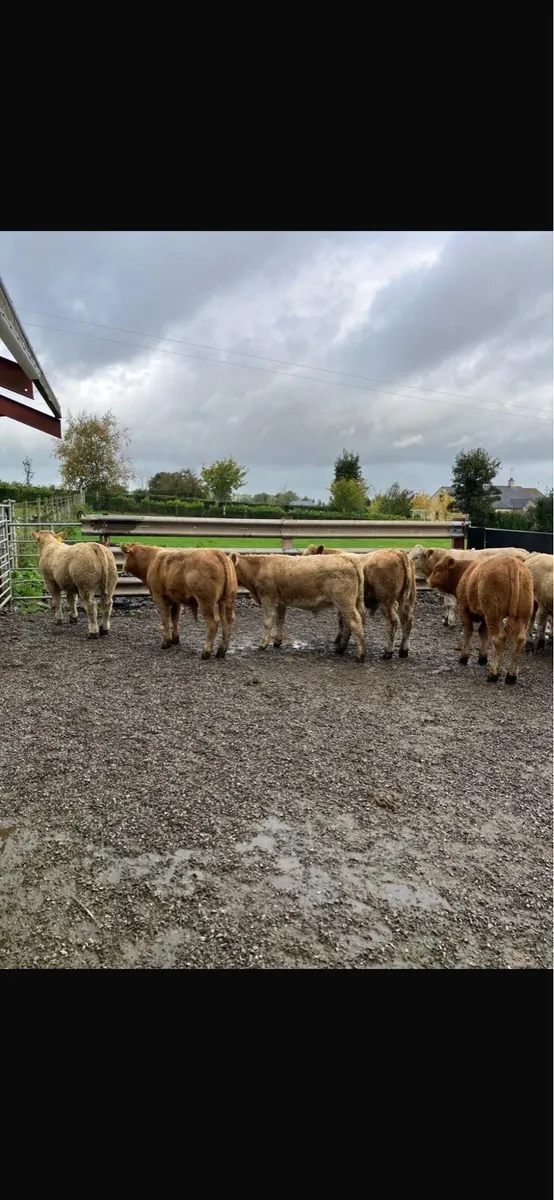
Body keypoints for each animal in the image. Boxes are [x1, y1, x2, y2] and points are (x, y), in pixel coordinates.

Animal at [230, 552, 366, 661]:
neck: (258, 568)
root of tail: (346, 557)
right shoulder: (281, 602)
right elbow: (280, 621)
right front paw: (277, 641)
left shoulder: (268, 599)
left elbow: (267, 622)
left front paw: (263, 644)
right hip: (347, 604)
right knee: (348, 624)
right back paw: (341, 649)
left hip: (345, 602)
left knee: (355, 623)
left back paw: (360, 655)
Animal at [427, 553, 534, 684]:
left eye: (438, 569)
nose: (428, 580)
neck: (466, 571)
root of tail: (511, 561)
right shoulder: (484, 617)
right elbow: (483, 632)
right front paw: (482, 657)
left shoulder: (464, 609)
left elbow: (468, 632)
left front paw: (464, 657)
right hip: (522, 616)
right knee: (519, 640)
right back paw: (511, 676)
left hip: (494, 615)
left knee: (499, 638)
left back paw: (493, 674)